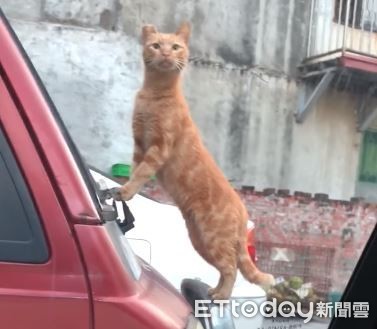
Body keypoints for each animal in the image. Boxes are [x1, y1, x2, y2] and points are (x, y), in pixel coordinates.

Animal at [114, 21, 274, 298]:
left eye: (176, 47)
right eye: (156, 45)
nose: (166, 53)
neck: (154, 94)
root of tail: (243, 210)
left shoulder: (158, 147)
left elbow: (142, 172)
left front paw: (126, 191)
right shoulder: (139, 145)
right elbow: (135, 170)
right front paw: (127, 190)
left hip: (213, 238)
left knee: (231, 268)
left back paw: (221, 295)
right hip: (200, 241)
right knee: (225, 268)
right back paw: (213, 291)